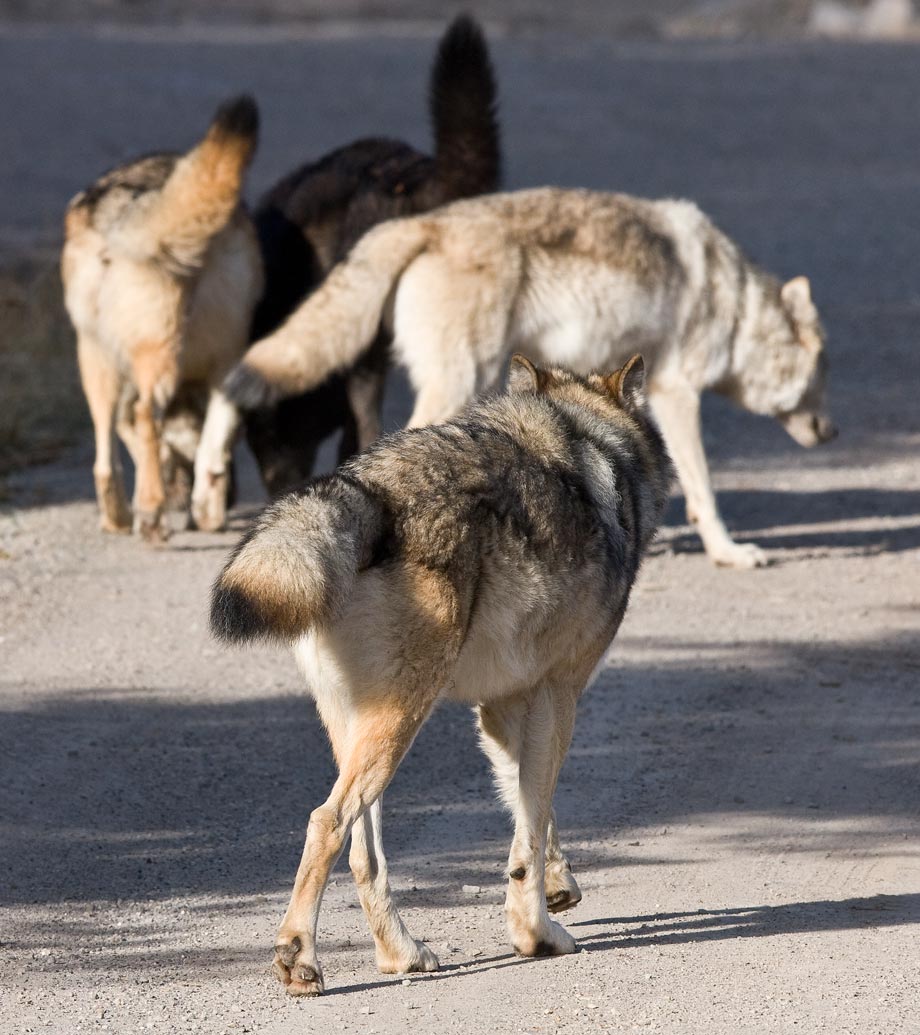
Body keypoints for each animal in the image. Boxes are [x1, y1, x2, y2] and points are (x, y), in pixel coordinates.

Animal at [61, 95, 261, 542]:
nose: (236, 499)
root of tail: (119, 212)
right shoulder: (229, 362)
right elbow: (211, 449)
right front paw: (205, 509)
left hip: (94, 359)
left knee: (106, 455)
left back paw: (120, 516)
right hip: (158, 355)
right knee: (144, 416)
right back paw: (152, 512)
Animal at [212, 353, 670, 993]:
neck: (590, 442)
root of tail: (366, 489)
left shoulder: (502, 709)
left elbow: (532, 813)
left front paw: (556, 888)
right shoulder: (559, 694)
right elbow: (531, 826)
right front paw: (538, 936)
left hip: (360, 730)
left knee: (363, 853)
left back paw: (400, 954)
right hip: (401, 720)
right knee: (326, 821)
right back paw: (299, 957)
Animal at [227, 190, 832, 571]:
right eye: (823, 370)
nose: (833, 433)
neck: (737, 304)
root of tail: (422, 222)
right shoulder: (675, 392)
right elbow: (704, 489)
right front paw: (730, 553)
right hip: (461, 381)